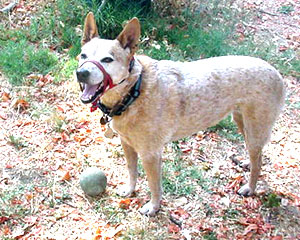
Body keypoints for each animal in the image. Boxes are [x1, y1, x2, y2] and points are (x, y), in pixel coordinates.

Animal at [76, 12, 284, 217]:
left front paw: (153, 207)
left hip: (255, 128)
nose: (81, 72)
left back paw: (250, 188)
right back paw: (247, 163)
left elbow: (154, 185)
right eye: (83, 55)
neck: (134, 91)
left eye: (107, 60)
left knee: (258, 161)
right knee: (257, 155)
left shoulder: (151, 154)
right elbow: (132, 171)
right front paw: (130, 190)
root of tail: (277, 73)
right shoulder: (126, 143)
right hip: (242, 122)